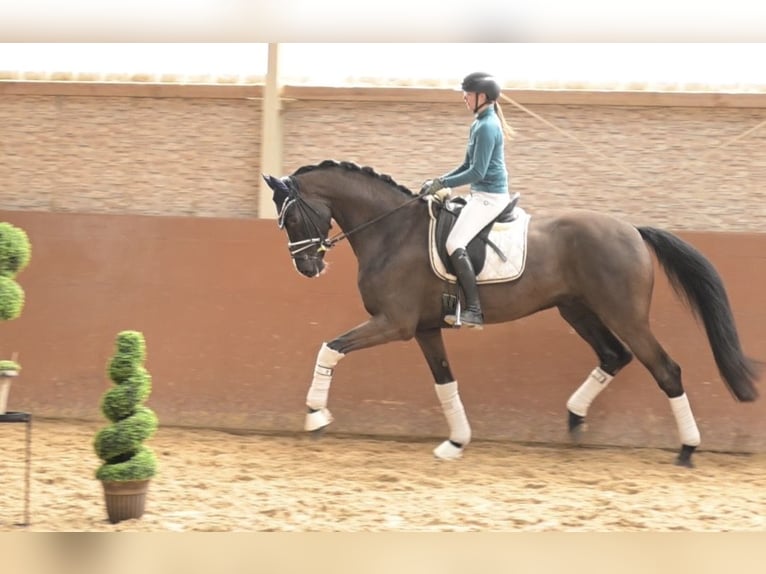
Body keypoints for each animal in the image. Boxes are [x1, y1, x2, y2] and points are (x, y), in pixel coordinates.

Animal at [263, 159, 760, 467]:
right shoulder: (424, 329)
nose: (308, 267)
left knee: (666, 369)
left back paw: (688, 449)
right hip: (577, 309)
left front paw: (315, 415)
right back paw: (574, 419)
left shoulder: (394, 324)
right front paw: (456, 443)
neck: (392, 232)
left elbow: (329, 348)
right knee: (613, 356)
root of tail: (632, 230)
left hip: (625, 315)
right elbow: (445, 383)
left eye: (291, 218)